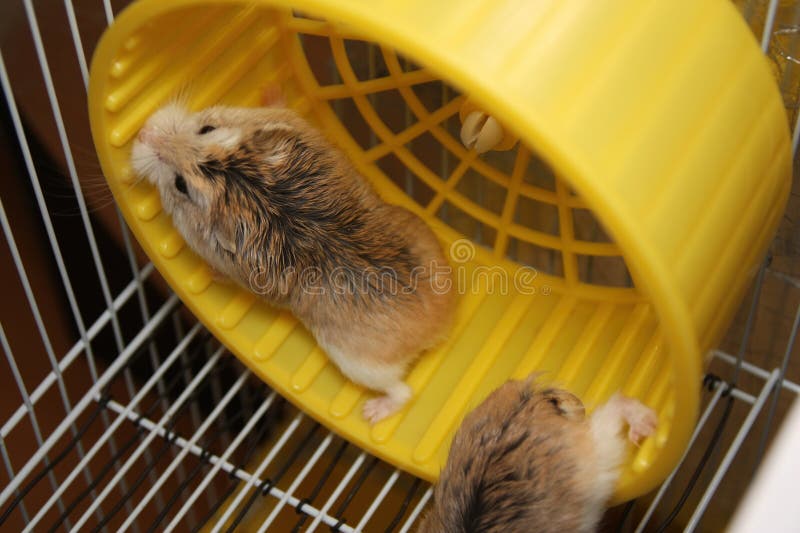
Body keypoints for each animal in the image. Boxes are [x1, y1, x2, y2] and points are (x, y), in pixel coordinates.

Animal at [131, 91, 455, 423]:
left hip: (359, 365)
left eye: (180, 184)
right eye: (206, 127)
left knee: (403, 392)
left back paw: (372, 412)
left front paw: (210, 273)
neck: (247, 187)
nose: (142, 133)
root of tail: (439, 326)